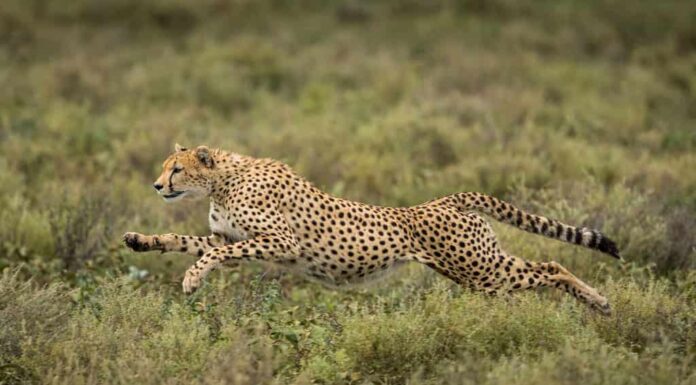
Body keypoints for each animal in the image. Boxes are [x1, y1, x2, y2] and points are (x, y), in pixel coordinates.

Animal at [123, 142, 620, 314]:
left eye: (177, 169)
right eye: (164, 167)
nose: (156, 185)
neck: (224, 179)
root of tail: (443, 200)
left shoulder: (280, 242)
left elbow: (213, 254)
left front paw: (192, 280)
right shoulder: (230, 236)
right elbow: (187, 241)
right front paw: (141, 240)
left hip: (483, 271)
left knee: (552, 266)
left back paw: (599, 302)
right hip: (476, 271)